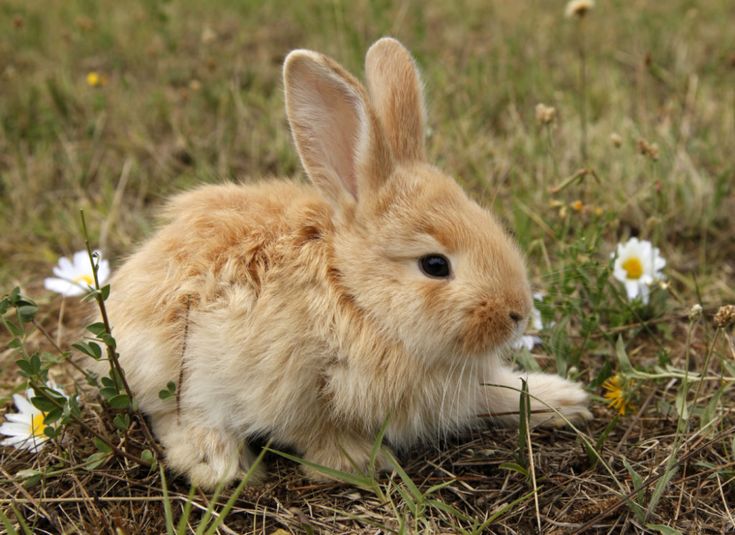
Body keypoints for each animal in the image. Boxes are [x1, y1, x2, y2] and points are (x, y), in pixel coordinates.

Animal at [99, 37, 592, 490]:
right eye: (435, 265)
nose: (517, 313)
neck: (353, 294)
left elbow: (497, 392)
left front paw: (565, 399)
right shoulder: (286, 383)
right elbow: (312, 431)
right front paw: (358, 462)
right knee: (171, 413)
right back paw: (217, 463)